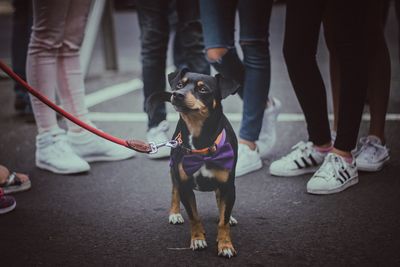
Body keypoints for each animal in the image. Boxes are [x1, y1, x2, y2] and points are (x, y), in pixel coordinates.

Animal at [148, 69, 239, 260]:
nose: (177, 94)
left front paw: (225, 245)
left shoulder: (228, 186)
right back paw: (175, 213)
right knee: (173, 189)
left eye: (203, 89)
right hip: (174, 169)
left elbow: (223, 221)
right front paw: (198, 239)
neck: (200, 141)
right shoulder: (185, 187)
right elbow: (194, 217)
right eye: (179, 85)